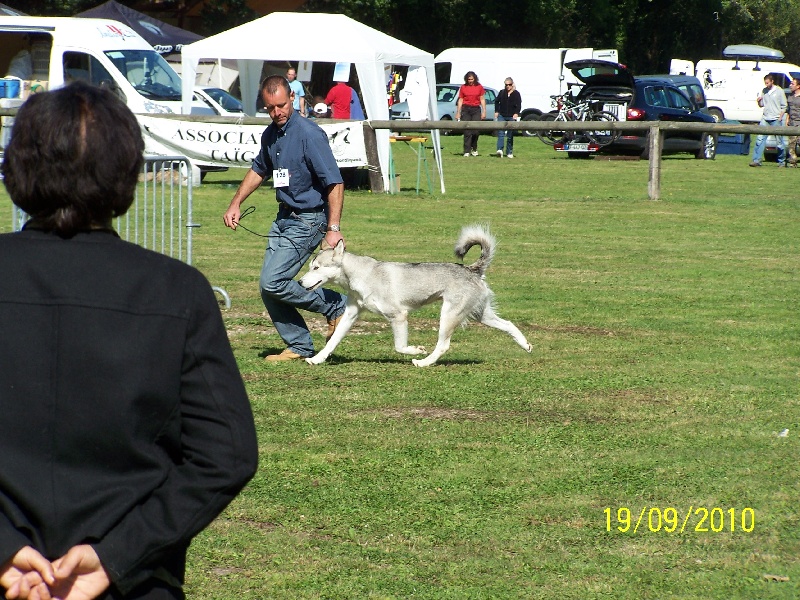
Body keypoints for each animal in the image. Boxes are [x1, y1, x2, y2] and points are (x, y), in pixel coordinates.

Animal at [298, 224, 532, 366]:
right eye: (310, 266)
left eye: (316, 268)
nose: (299, 282)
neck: (362, 274)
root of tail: (472, 269)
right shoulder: (350, 315)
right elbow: (333, 341)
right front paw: (317, 359)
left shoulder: (398, 316)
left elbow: (400, 346)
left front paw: (416, 350)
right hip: (480, 314)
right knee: (509, 324)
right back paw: (525, 345)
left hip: (449, 315)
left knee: (443, 345)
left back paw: (424, 362)